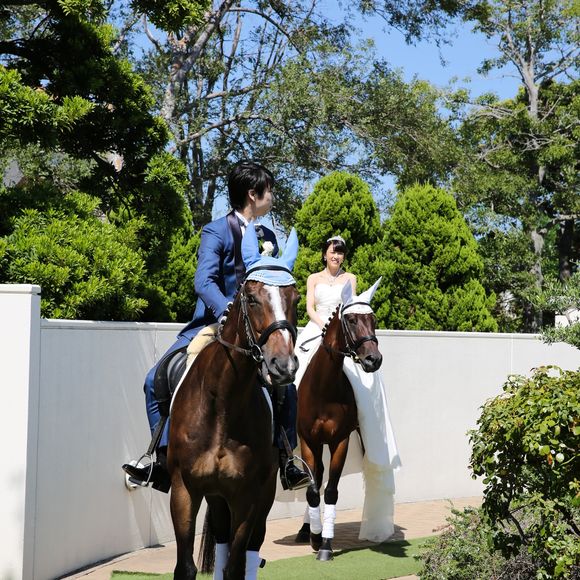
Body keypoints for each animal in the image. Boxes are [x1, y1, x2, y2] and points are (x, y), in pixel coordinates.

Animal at [168, 227, 300, 580]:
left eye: (296, 299)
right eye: (251, 298)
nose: (283, 366)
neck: (223, 403)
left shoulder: (247, 496)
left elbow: (236, 566)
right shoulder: (184, 489)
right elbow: (185, 567)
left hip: (262, 493)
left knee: (250, 550)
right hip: (215, 496)